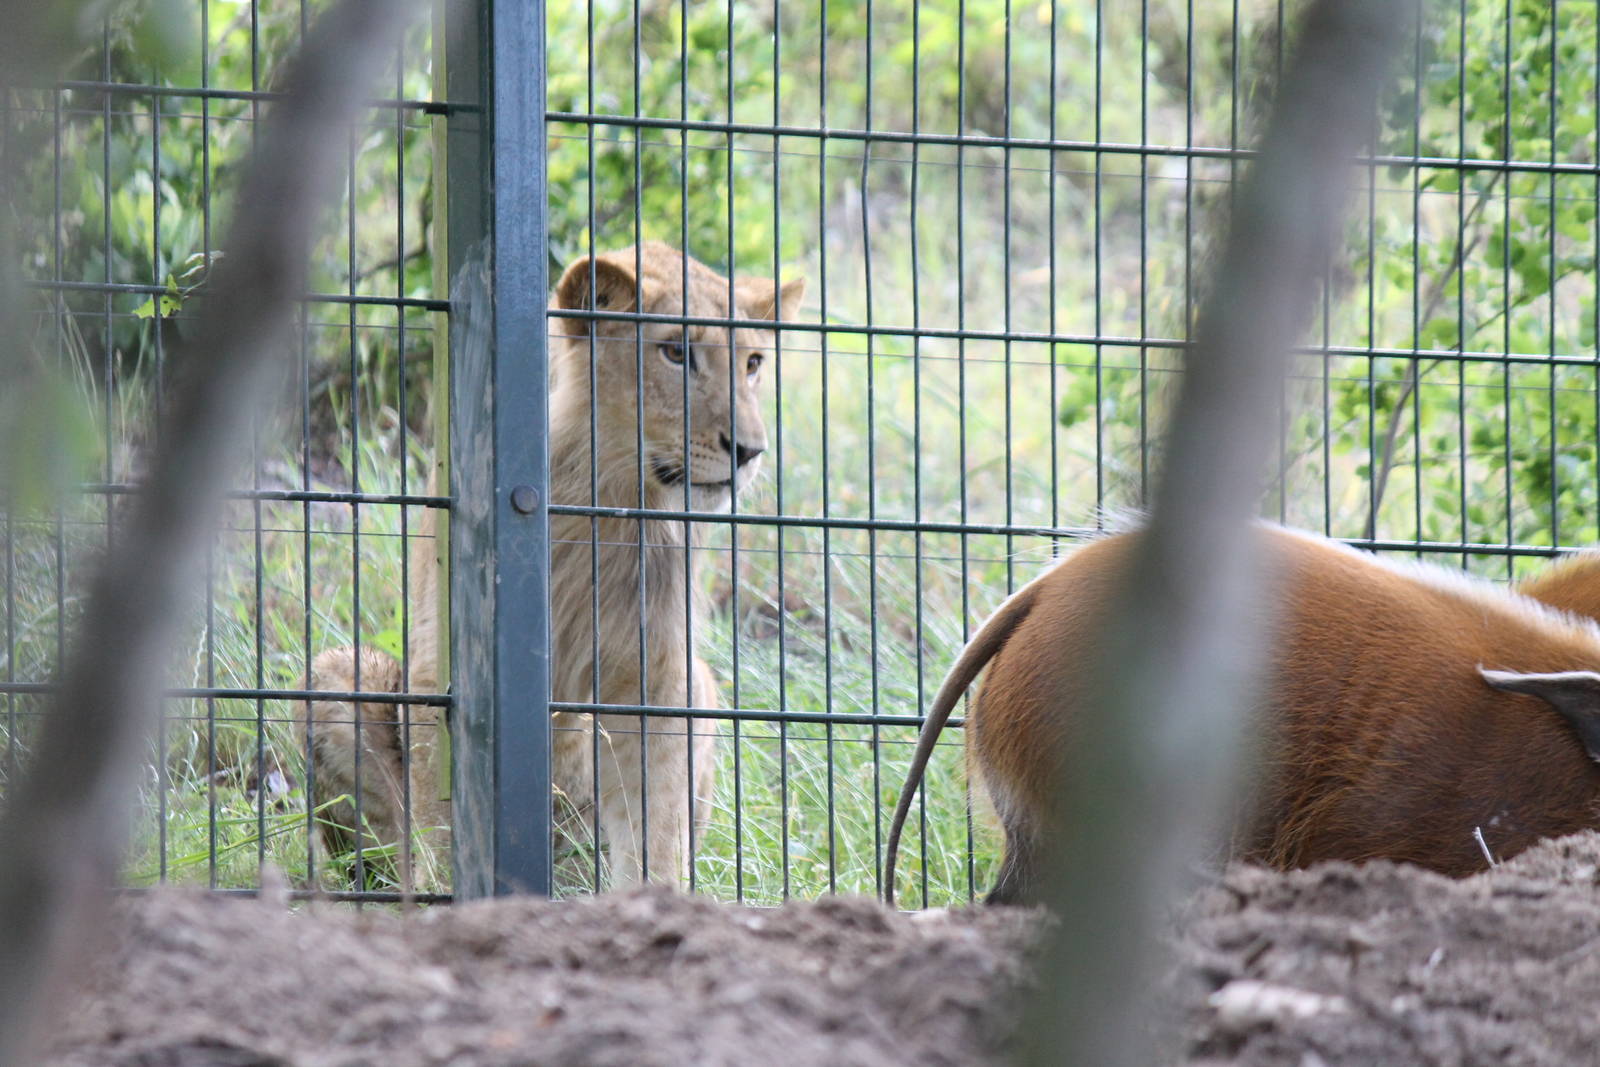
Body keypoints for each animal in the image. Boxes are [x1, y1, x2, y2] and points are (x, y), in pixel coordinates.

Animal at [303, 242, 806, 891]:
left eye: (752, 363)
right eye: (675, 352)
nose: (749, 451)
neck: (612, 503)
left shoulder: (661, 675)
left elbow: (657, 826)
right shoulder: (441, 670)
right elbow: (442, 816)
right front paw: (444, 892)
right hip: (339, 674)